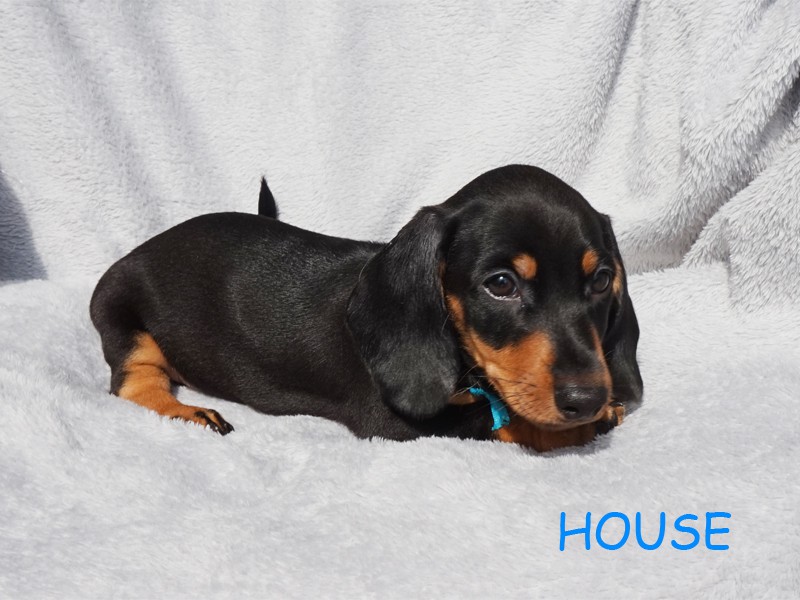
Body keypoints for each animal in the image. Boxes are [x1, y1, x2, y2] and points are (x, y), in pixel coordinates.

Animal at [90, 165, 642, 451]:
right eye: (501, 284)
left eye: (601, 280)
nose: (587, 399)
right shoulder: (391, 423)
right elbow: (495, 425)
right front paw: (578, 427)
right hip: (124, 320)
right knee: (134, 384)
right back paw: (191, 413)